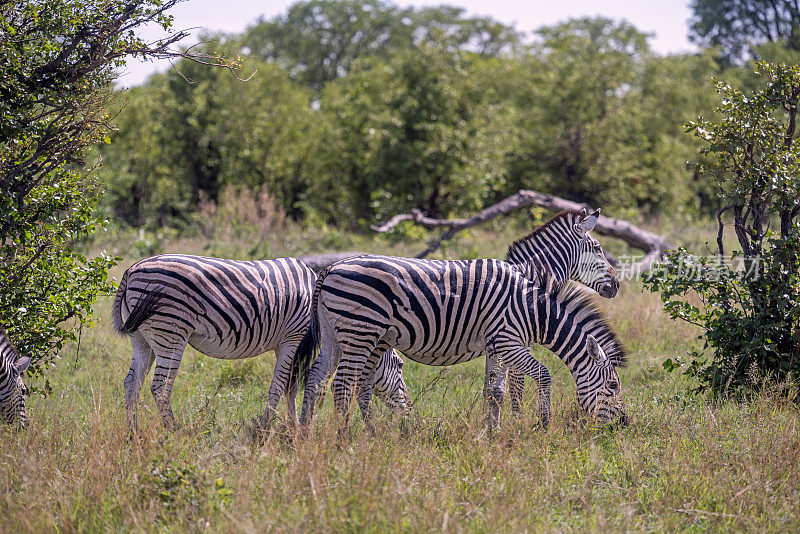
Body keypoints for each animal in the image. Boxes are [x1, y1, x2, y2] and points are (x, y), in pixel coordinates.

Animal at [112, 255, 406, 436]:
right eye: (401, 366)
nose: (407, 414)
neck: (316, 301)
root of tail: (130, 271)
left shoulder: (286, 343)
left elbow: (290, 385)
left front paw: (292, 426)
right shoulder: (293, 337)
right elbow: (281, 384)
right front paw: (269, 428)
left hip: (143, 339)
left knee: (132, 383)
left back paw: (132, 434)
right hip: (171, 331)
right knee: (159, 387)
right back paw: (174, 430)